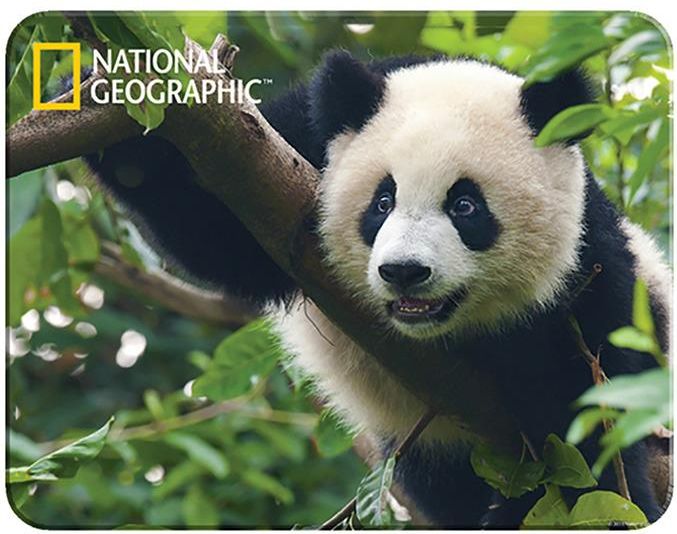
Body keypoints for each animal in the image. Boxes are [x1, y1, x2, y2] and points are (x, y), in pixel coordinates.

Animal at [85, 51, 671, 527]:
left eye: (465, 206)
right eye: (382, 201)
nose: (405, 271)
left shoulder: (586, 266)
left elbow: (589, 397)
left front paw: (596, 501)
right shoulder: (293, 148)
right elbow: (217, 232)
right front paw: (113, 107)